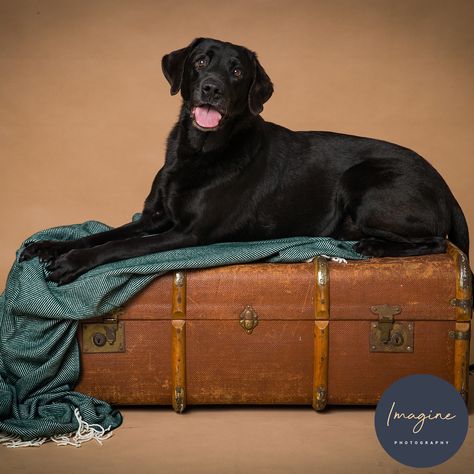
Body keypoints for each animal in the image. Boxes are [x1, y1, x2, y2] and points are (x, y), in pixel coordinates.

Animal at [20, 38, 468, 286]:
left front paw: (72, 262)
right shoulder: (155, 217)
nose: (211, 88)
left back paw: (373, 245)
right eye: (201, 62)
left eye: (237, 71)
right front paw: (50, 245)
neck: (196, 151)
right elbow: (104, 234)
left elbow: (122, 246)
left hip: (365, 183)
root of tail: (446, 187)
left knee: (434, 241)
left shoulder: (187, 233)